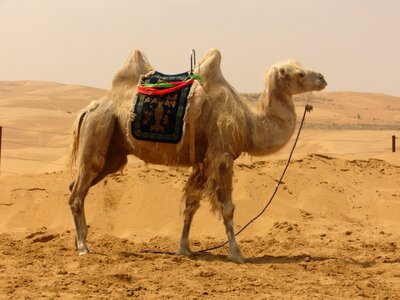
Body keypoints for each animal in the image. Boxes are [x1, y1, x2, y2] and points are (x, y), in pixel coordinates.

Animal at [67, 49, 326, 262]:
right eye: (300, 74)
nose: (322, 78)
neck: (248, 124)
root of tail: (87, 109)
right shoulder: (221, 156)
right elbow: (227, 207)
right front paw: (237, 254)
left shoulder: (203, 161)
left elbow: (191, 204)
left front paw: (184, 250)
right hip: (99, 129)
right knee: (77, 193)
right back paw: (82, 247)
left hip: (114, 153)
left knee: (76, 187)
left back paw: (83, 239)